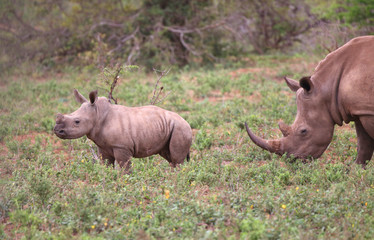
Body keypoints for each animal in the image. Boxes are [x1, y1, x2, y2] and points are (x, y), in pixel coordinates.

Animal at [54, 89, 193, 170]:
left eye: (77, 122)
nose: (56, 130)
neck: (98, 114)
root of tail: (187, 123)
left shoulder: (122, 147)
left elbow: (124, 168)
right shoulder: (103, 146)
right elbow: (106, 165)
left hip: (180, 129)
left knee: (177, 159)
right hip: (170, 128)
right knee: (170, 157)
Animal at [245, 35, 374, 166]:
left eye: (303, 131)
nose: (293, 160)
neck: (327, 89)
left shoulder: (368, 111)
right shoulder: (360, 109)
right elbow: (364, 145)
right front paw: (357, 168)